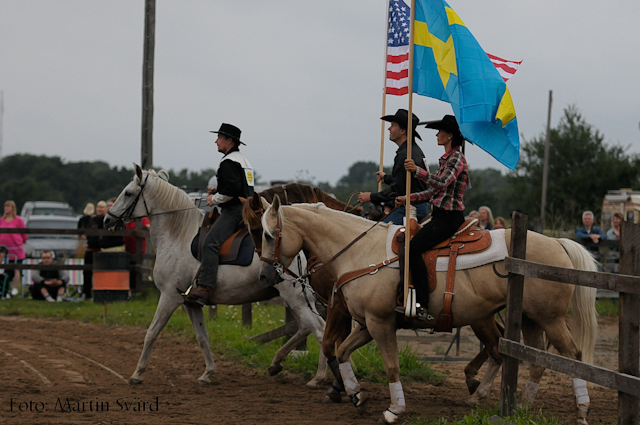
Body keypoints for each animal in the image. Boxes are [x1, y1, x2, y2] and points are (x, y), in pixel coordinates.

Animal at [105, 166, 330, 388]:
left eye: (128, 193)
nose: (107, 218)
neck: (178, 236)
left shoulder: (169, 297)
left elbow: (152, 332)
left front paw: (137, 373)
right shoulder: (191, 303)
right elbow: (202, 337)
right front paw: (208, 373)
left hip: (296, 299)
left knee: (319, 330)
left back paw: (319, 377)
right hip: (299, 300)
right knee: (307, 328)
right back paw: (278, 364)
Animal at [258, 200, 596, 424]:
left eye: (268, 234)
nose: (264, 275)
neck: (361, 252)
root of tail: (558, 243)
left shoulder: (380, 324)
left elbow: (391, 366)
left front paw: (394, 410)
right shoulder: (366, 324)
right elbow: (341, 351)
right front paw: (356, 394)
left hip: (549, 319)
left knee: (572, 355)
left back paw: (580, 409)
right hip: (529, 319)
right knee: (532, 358)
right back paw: (516, 404)